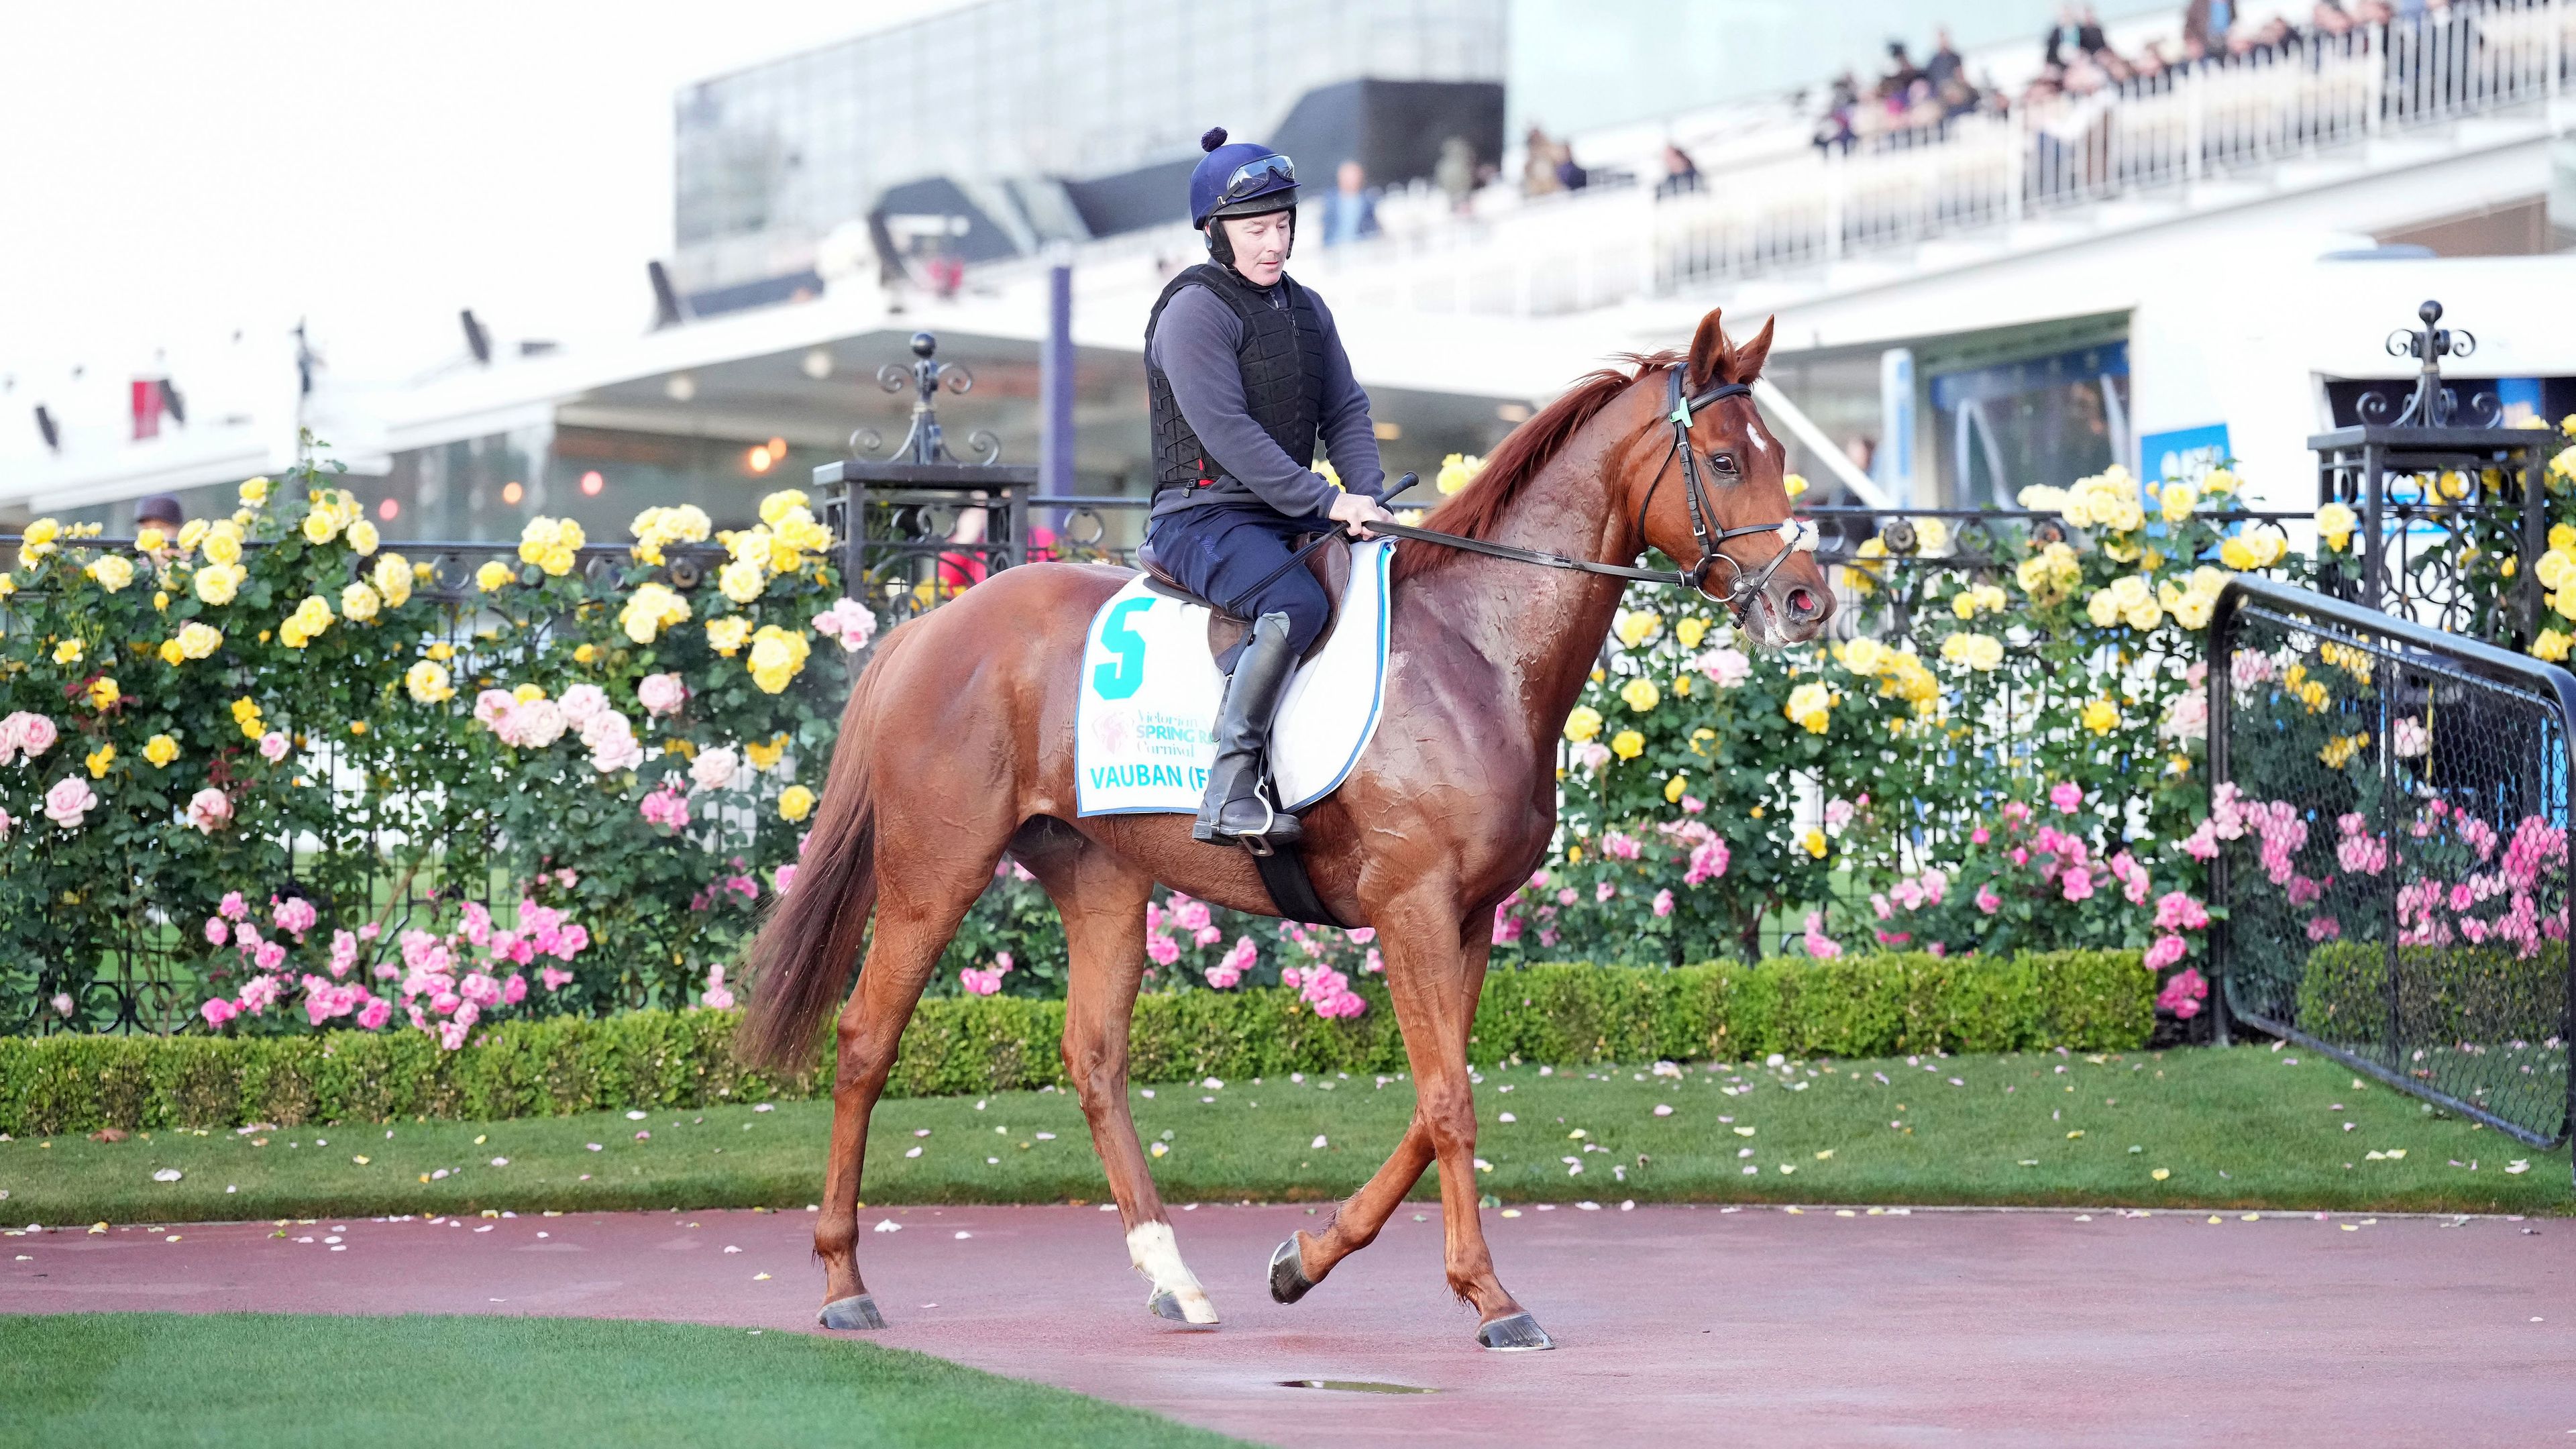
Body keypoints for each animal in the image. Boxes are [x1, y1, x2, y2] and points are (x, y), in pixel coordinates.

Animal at [741, 311, 1834, 1350]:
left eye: (1779, 453)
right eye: (1724, 460)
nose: (1807, 599)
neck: (1475, 648)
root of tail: (929, 627)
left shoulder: (1468, 917)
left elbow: (1431, 1103)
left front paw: (1306, 1259)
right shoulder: (1413, 909)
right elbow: (1451, 1104)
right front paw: (1490, 1297)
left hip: (1101, 878)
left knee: (1094, 1059)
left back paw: (1174, 1278)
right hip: (934, 872)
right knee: (865, 1039)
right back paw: (843, 1280)